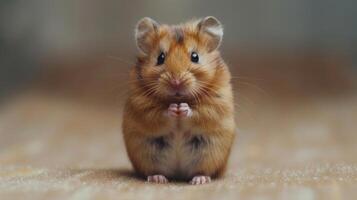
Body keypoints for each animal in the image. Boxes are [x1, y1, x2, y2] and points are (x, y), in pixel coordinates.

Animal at [121, 16, 235, 185]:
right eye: (160, 57)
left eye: (195, 56)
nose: (176, 82)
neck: (178, 98)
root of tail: (179, 174)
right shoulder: (141, 106)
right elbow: (158, 113)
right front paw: (174, 109)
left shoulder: (215, 105)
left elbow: (199, 112)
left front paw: (182, 109)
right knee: (154, 171)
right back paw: (158, 179)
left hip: (209, 154)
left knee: (202, 171)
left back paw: (199, 180)